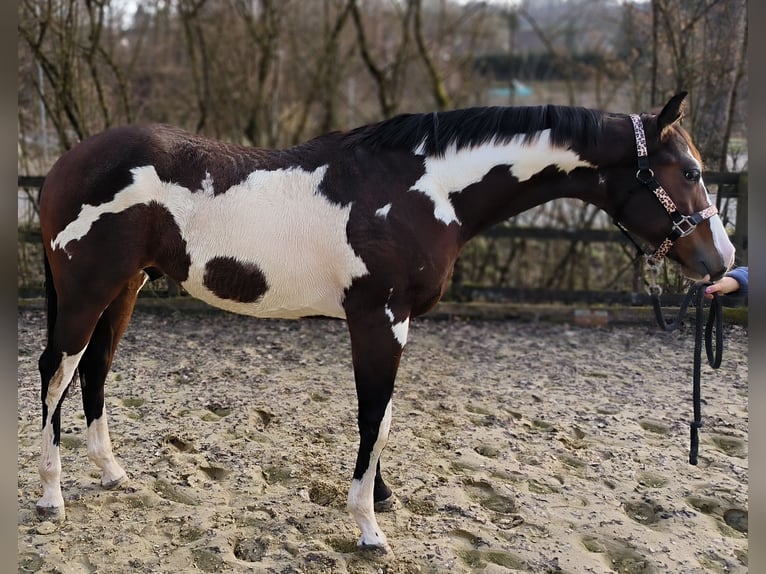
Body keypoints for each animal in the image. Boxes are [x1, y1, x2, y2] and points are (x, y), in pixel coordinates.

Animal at [35, 92, 735, 550]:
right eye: (690, 171)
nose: (721, 261)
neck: (422, 189)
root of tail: (65, 163)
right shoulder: (381, 320)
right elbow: (374, 414)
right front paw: (369, 527)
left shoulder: (395, 324)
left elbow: (386, 416)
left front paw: (382, 499)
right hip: (86, 292)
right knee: (55, 373)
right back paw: (51, 497)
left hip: (125, 289)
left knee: (95, 371)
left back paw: (112, 474)